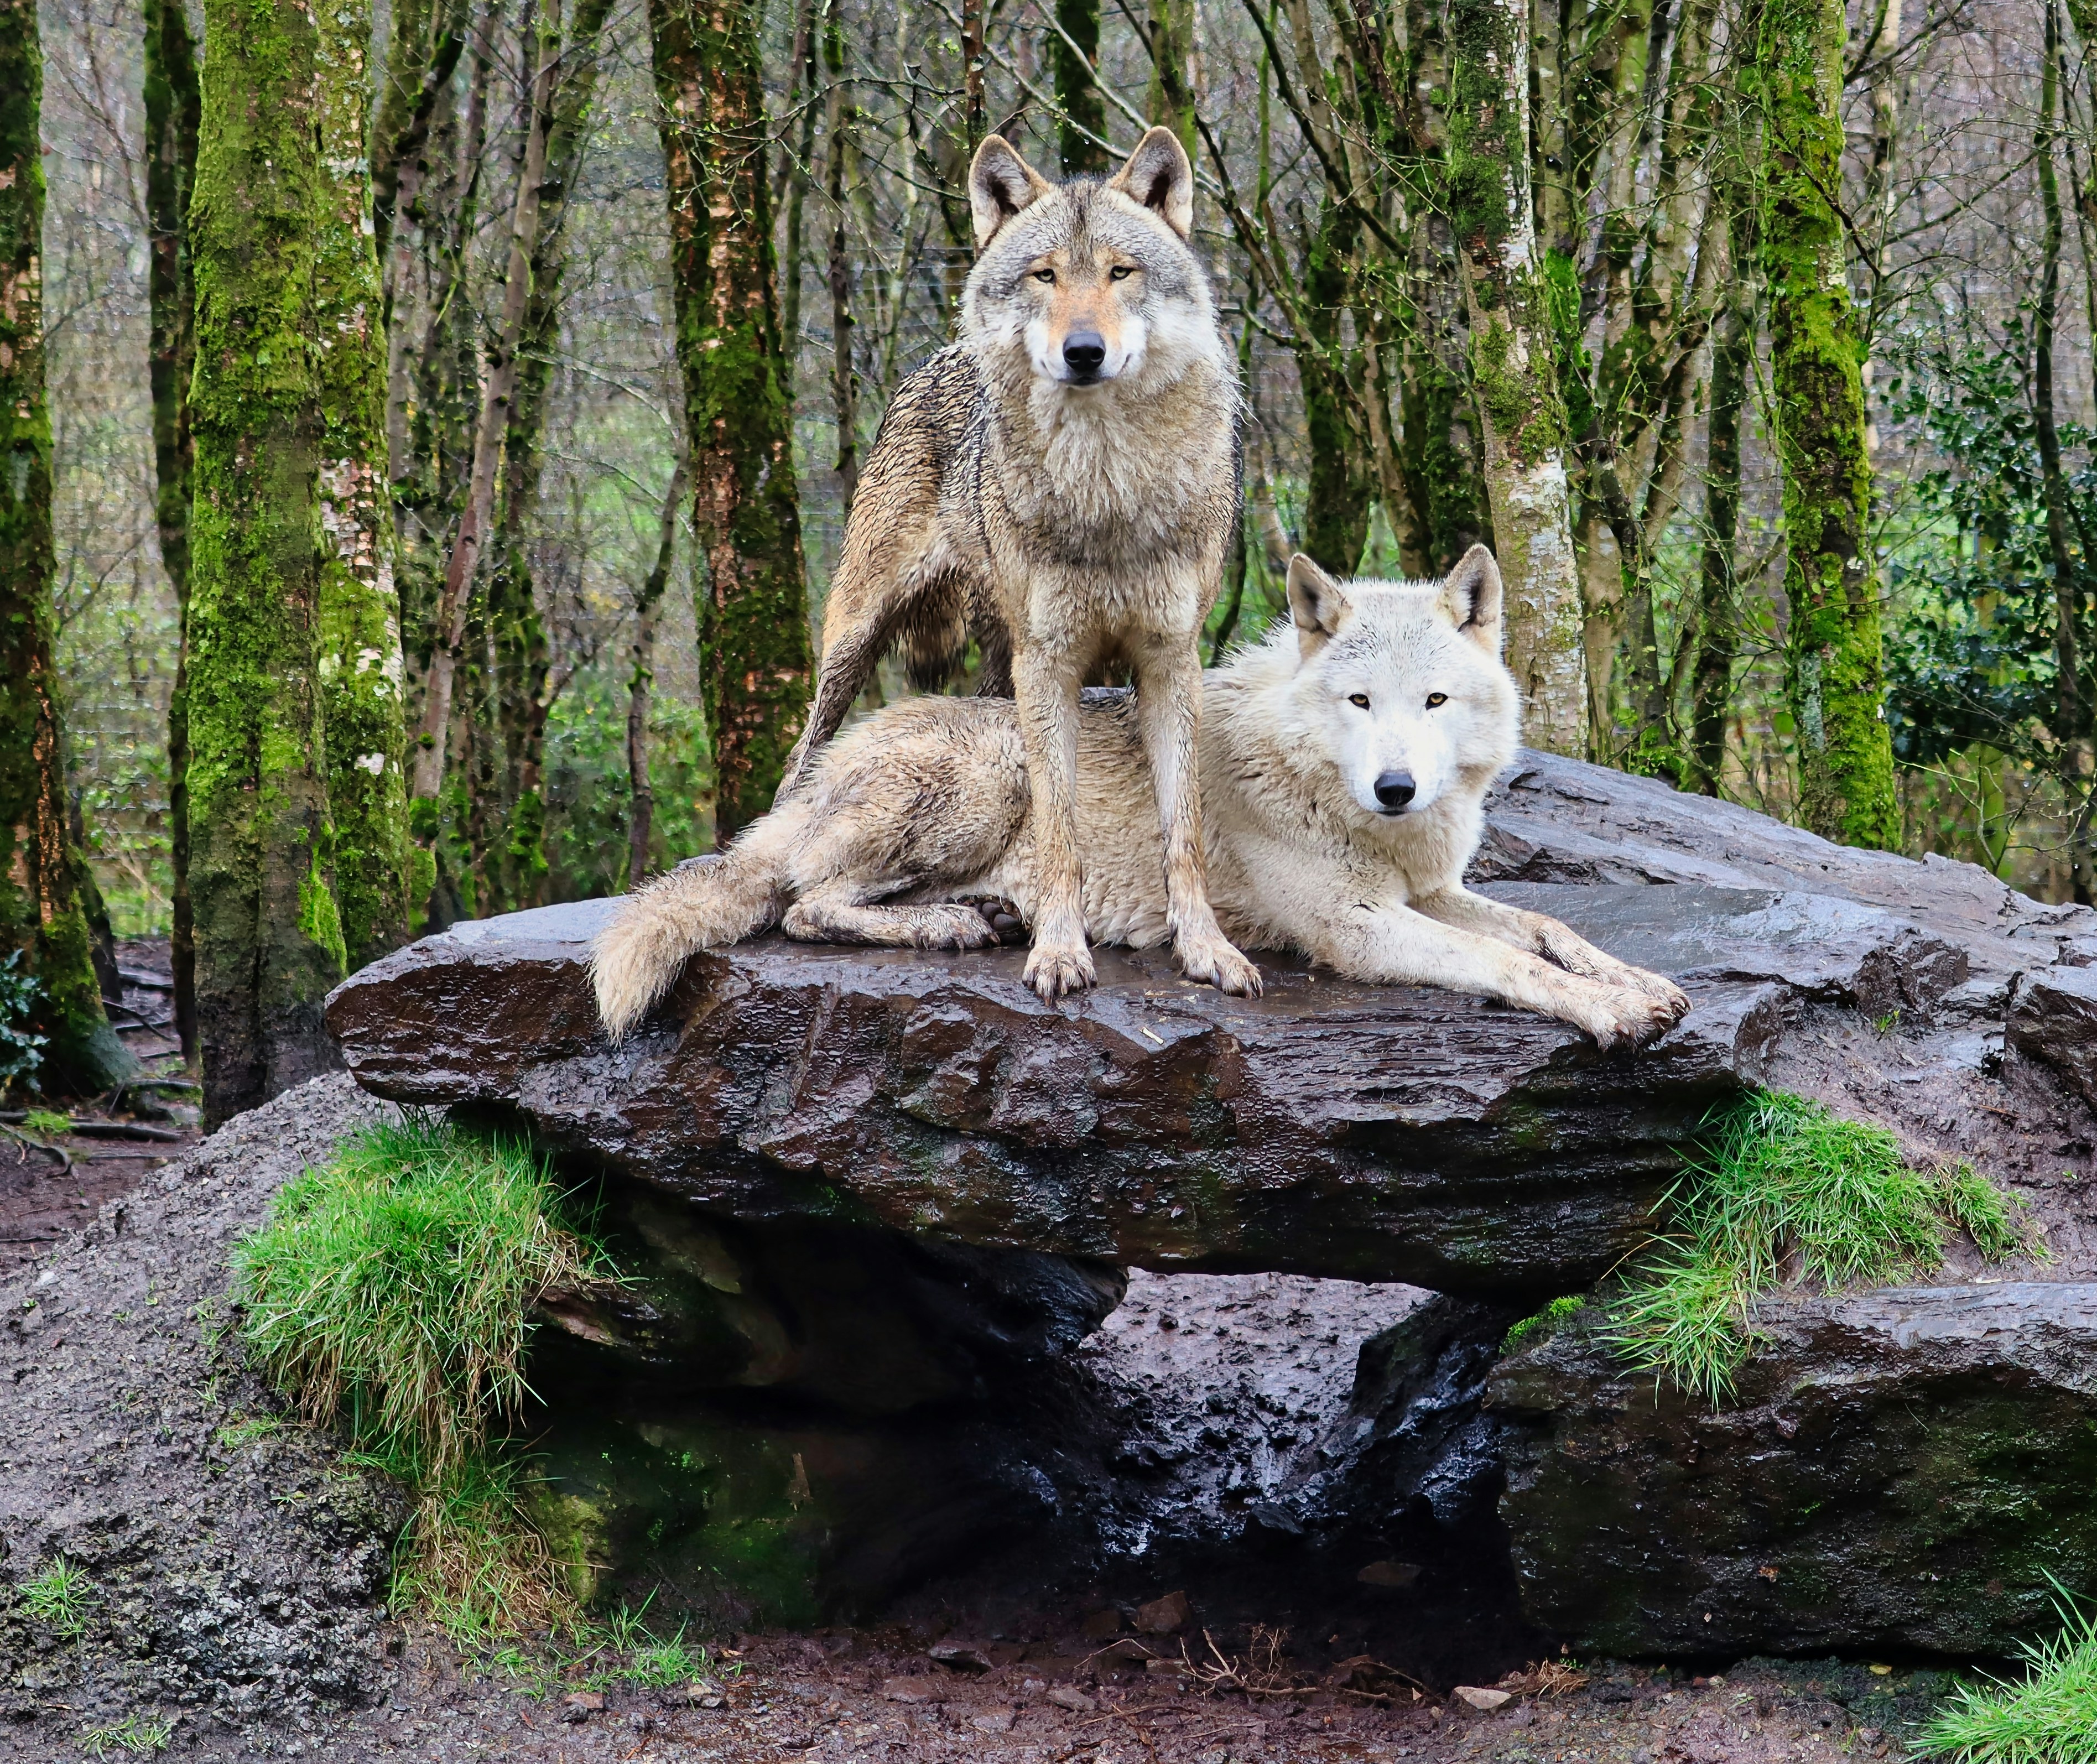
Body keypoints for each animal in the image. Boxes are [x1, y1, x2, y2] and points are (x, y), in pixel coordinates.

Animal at [587, 545, 1685, 1044]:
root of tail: (811, 780)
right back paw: (952, 926)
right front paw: (1607, 1012)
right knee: (805, 904)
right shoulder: (1359, 927)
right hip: (994, 776)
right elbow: (1509, 962)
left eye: (1434, 700)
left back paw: (987, 913)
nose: (1395, 787)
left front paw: (1641, 982)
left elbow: (1544, 924)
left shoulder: (1428, 892)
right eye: (1360, 701)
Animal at [780, 126, 1250, 1007]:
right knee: (801, 818)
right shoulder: (1050, 664)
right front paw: (1059, 951)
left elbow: (1185, 832)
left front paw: (1206, 949)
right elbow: (1060, 829)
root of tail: (940, 353)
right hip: (856, 642)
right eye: (1045, 275)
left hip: (995, 671)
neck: (1104, 488)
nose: (1083, 351)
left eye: (1119, 272)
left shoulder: (1171, 660)